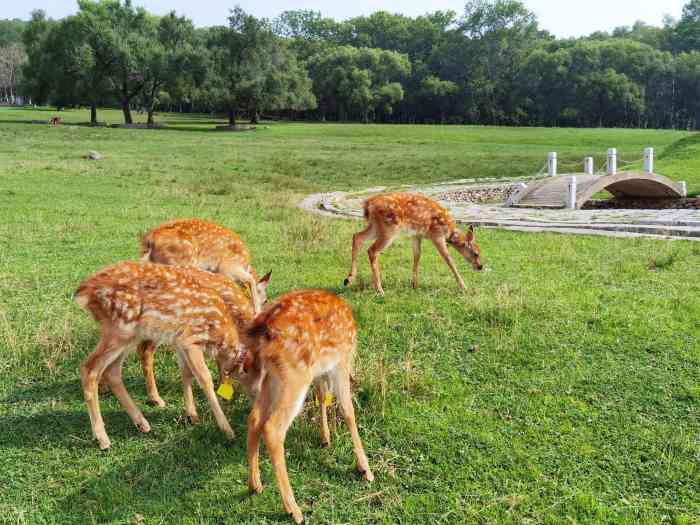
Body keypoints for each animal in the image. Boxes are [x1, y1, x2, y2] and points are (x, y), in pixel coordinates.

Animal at [139, 218, 268, 314]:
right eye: (266, 300)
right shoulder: (228, 268)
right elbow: (250, 281)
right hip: (183, 260)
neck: (245, 263)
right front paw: (255, 312)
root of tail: (149, 239)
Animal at [228, 288, 372, 520]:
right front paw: (365, 468)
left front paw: (325, 437)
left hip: (273, 376)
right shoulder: (340, 361)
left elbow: (322, 395)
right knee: (273, 428)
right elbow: (347, 411)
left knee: (255, 418)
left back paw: (255, 485)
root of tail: (263, 328)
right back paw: (293, 509)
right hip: (295, 374)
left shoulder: (321, 370)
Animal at [344, 191, 484, 294]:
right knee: (372, 250)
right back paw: (379, 289)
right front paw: (464, 287)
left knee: (357, 237)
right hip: (389, 228)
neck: (448, 231)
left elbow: (417, 255)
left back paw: (349, 279)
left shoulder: (416, 235)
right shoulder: (437, 235)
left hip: (375, 226)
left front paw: (414, 284)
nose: (480, 266)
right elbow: (449, 260)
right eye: (476, 253)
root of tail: (368, 205)